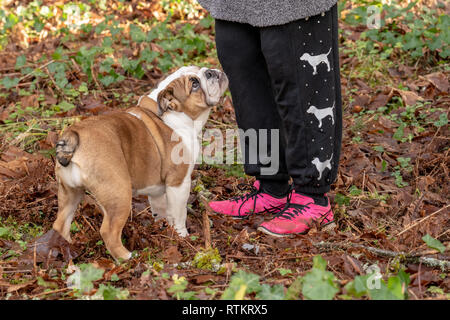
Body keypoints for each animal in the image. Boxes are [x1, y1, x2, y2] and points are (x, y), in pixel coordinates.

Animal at [53, 67, 229, 260]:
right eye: (194, 84)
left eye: (200, 70)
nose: (211, 71)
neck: (175, 115)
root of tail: (74, 135)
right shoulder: (178, 183)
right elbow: (178, 213)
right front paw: (182, 236)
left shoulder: (157, 190)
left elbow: (161, 209)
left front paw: (163, 229)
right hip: (119, 193)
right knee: (109, 231)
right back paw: (127, 257)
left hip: (70, 192)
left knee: (60, 223)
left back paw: (67, 248)